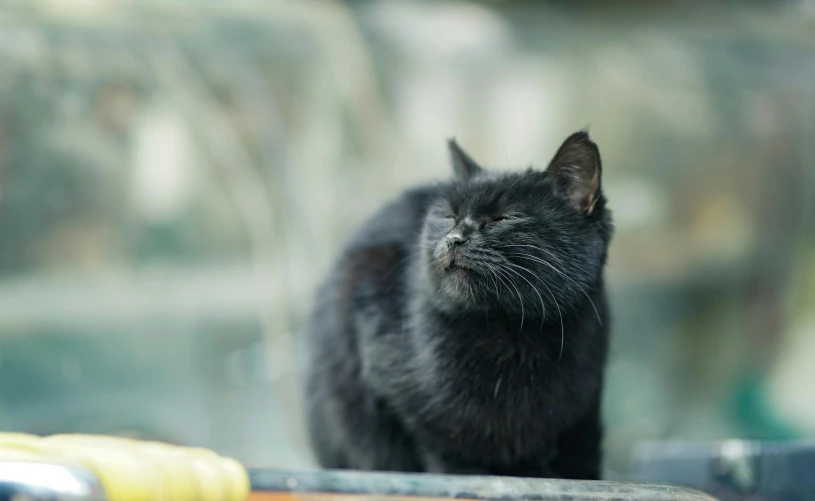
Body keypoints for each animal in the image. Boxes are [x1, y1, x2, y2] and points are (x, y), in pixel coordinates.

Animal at [306, 131, 612, 478]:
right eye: (449, 217)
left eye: (502, 218)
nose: (454, 238)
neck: (509, 333)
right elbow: (443, 446)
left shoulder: (584, 407)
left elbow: (579, 458)